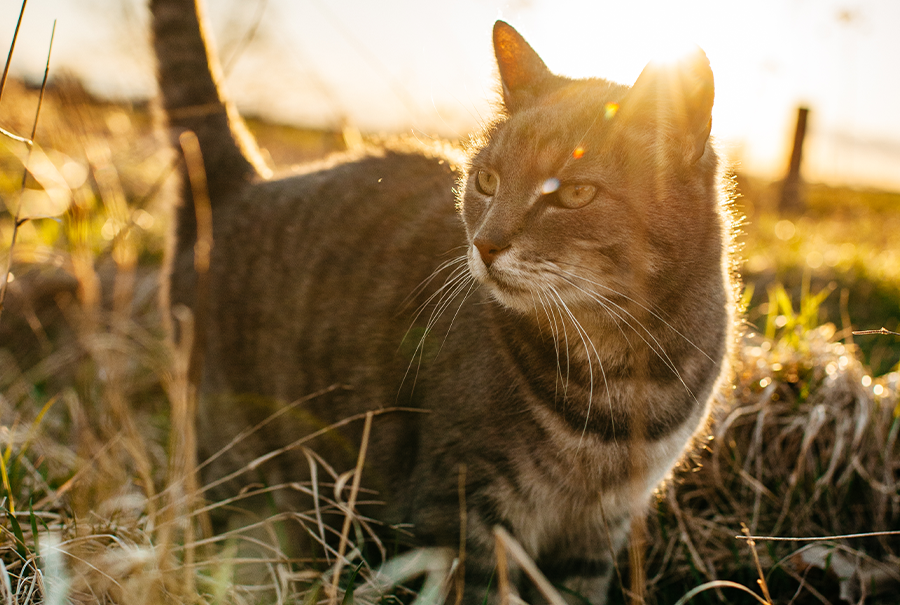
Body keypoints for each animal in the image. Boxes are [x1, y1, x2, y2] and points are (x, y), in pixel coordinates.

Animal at [151, 0, 736, 600]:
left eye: (575, 193)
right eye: (486, 180)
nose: (485, 243)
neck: (618, 371)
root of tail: (240, 184)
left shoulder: (598, 532)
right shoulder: (462, 512)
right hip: (236, 458)